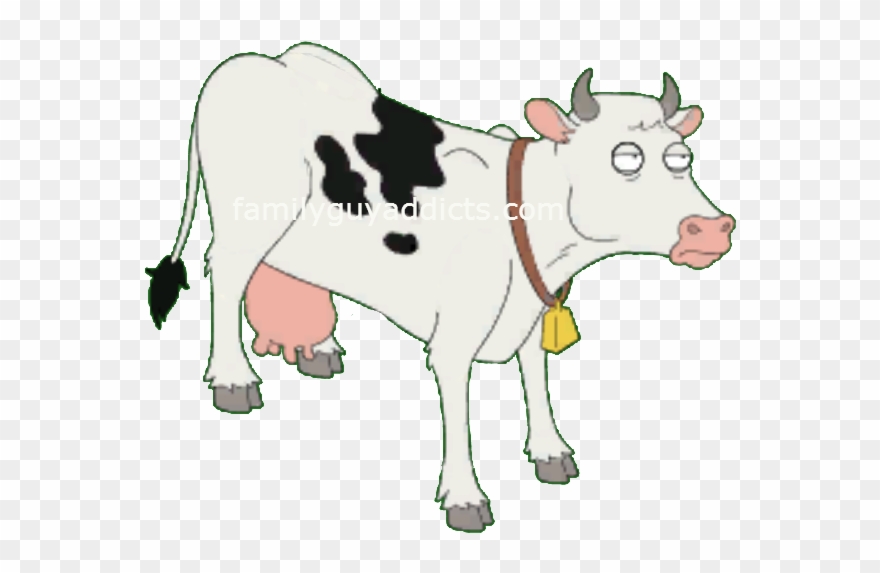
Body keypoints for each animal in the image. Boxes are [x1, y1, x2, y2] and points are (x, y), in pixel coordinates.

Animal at [145, 42, 735, 533]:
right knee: (226, 270)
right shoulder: (454, 334)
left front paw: (550, 451)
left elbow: (534, 373)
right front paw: (464, 497)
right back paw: (232, 378)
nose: (710, 228)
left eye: (682, 158)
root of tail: (256, 63)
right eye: (625, 157)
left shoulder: (528, 313)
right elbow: (459, 406)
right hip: (247, 218)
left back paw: (315, 347)